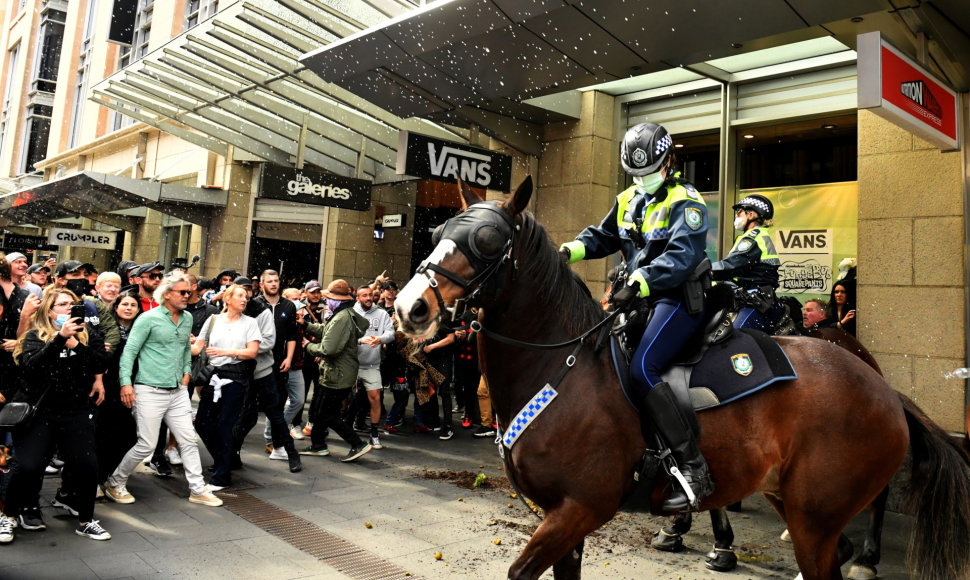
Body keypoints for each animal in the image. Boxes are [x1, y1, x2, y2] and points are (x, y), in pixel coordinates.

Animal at [394, 178, 968, 580]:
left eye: (489, 240)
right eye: (438, 233)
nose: (409, 308)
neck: (565, 368)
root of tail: (884, 389)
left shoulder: (579, 508)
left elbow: (520, 569)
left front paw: (708, 541)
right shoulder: (564, 521)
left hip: (816, 516)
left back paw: (868, 555)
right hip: (796, 502)